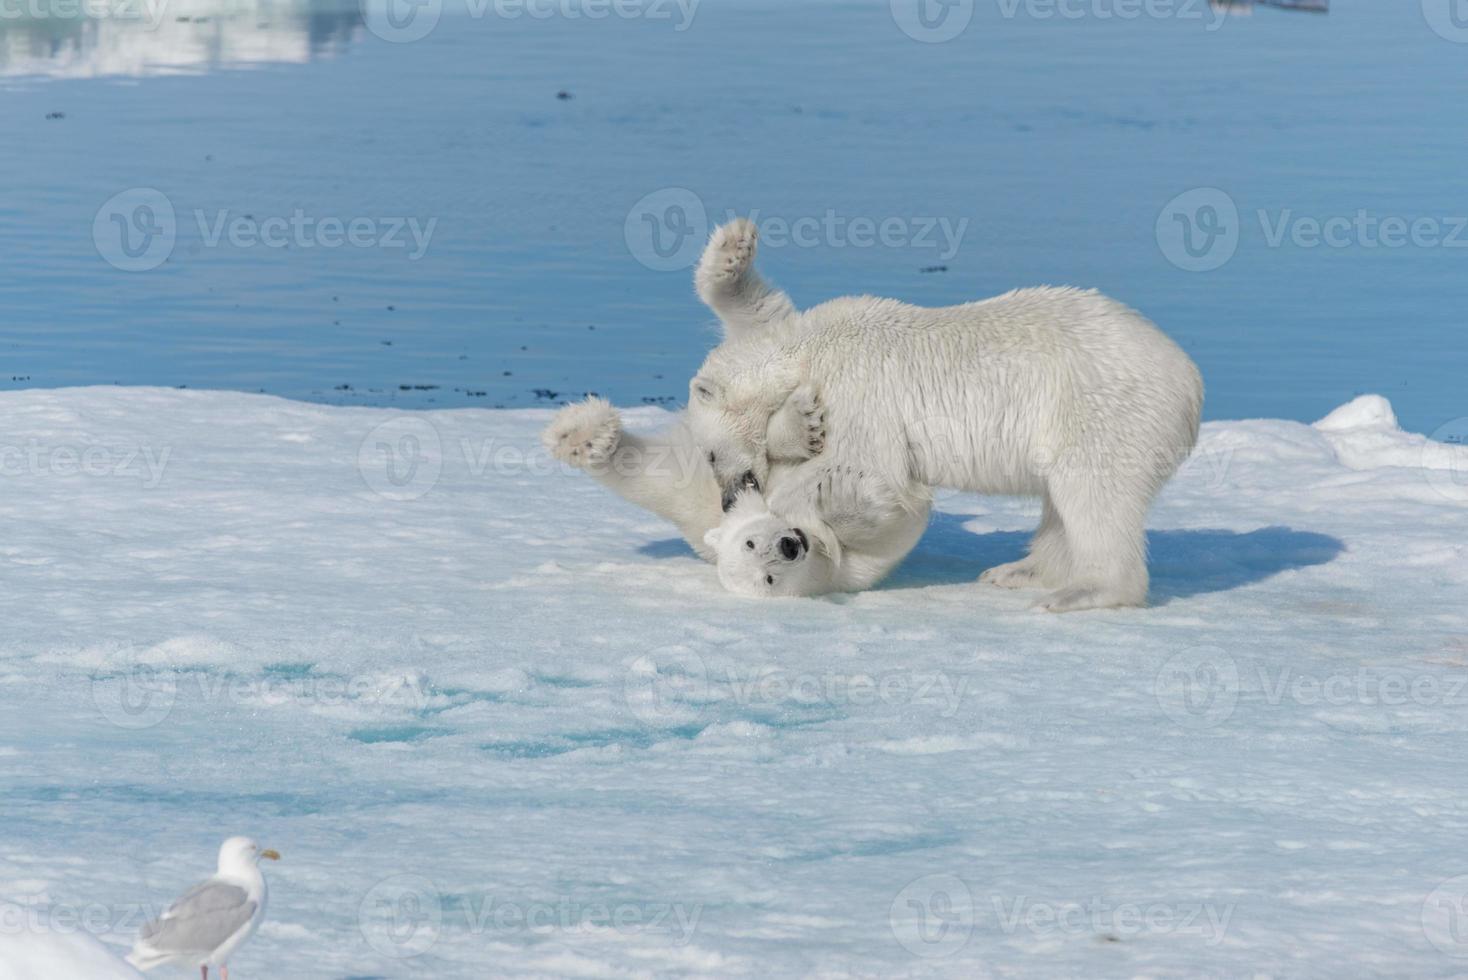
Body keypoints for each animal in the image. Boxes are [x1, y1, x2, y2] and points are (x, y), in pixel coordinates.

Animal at [687, 220, 1203, 613]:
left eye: (709, 455)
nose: (732, 495)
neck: (810, 351)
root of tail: (1191, 381)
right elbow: (759, 309)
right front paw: (733, 245)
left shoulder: (857, 390)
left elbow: (869, 467)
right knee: (1064, 508)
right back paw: (1019, 570)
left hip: (1101, 411)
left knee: (1094, 492)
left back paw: (1080, 591)